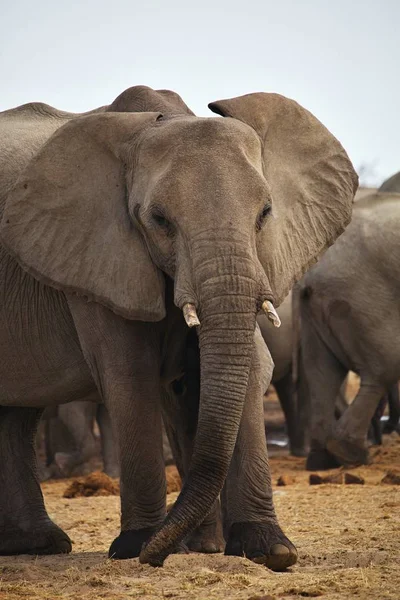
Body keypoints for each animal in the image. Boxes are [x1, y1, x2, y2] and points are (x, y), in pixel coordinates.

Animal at [0, 84, 356, 568]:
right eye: (159, 220)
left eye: (265, 212)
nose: (158, 553)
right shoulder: (96, 257)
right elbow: (131, 376)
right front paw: (137, 547)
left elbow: (244, 368)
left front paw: (270, 550)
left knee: (19, 413)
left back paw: (39, 544)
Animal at [296, 176, 400, 472]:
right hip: (363, 299)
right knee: (383, 370)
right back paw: (352, 455)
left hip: (315, 312)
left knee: (321, 375)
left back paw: (321, 460)